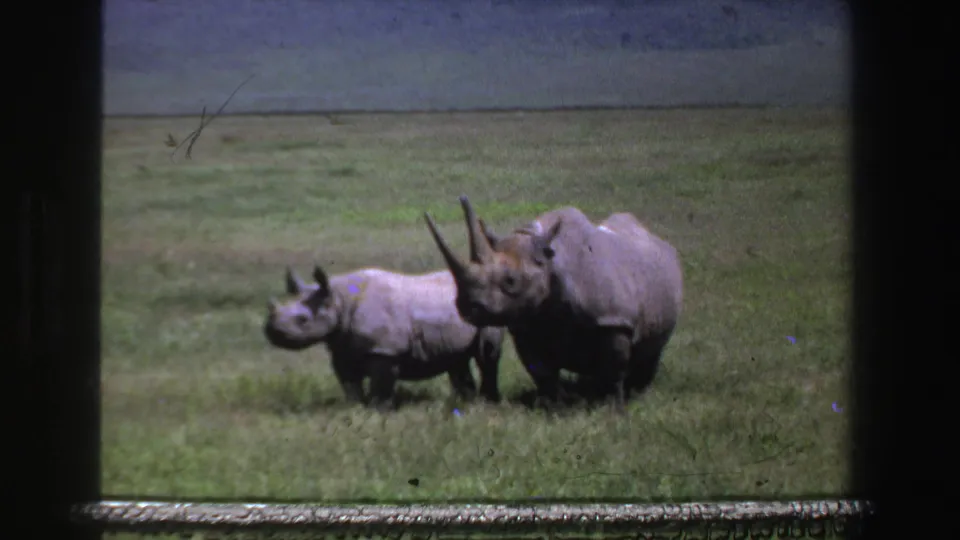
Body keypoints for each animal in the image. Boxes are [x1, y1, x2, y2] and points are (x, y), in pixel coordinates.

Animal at [263, 264, 506, 411]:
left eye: (302, 320)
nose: (271, 332)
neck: (339, 298)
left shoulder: (384, 349)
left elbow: (381, 385)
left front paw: (379, 411)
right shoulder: (341, 346)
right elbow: (349, 384)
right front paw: (355, 408)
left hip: (488, 309)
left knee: (486, 355)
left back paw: (488, 402)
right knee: (457, 360)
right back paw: (465, 403)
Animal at [423, 196, 683, 413]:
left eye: (511, 281)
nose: (467, 307)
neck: (551, 263)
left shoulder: (614, 320)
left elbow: (614, 368)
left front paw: (612, 409)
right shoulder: (526, 325)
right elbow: (541, 371)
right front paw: (553, 407)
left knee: (652, 349)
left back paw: (637, 393)